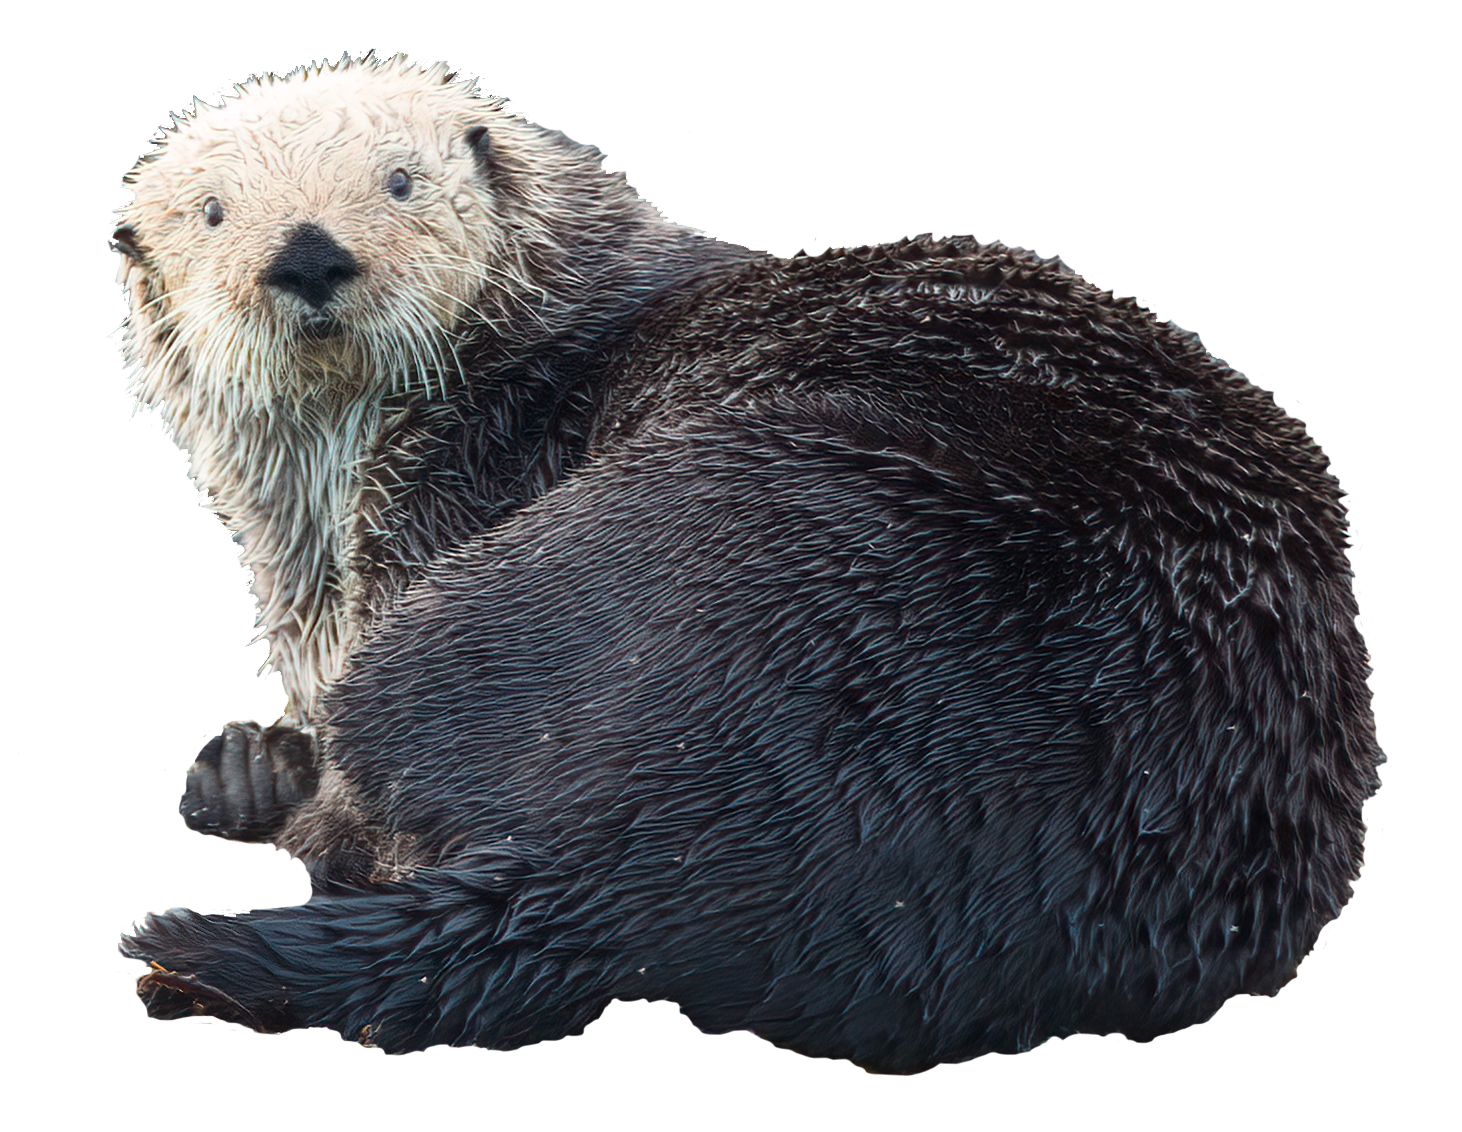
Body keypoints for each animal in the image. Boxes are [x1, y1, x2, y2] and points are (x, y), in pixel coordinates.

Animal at [114, 53, 1384, 1074]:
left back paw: (257, 791)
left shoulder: (436, 506)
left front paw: (271, 754)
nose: (307, 255)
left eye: (399, 182)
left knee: (357, 828)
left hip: (570, 576)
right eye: (214, 212)